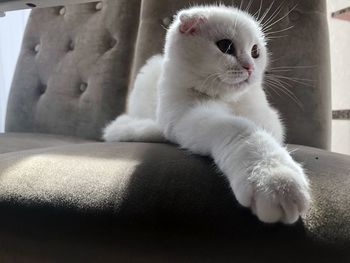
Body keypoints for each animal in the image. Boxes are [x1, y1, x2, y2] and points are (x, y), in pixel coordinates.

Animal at [102, 4, 310, 225]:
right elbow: (243, 130)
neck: (229, 100)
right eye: (226, 46)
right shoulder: (188, 117)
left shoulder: (270, 119)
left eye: (255, 52)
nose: (250, 67)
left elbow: (269, 131)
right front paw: (273, 179)